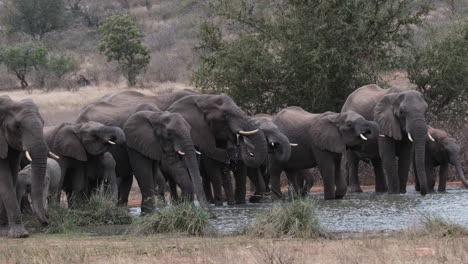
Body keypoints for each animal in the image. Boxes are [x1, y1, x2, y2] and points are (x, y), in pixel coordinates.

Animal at [0, 96, 49, 238]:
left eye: (43, 122)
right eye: (17, 126)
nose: (46, 223)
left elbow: (12, 176)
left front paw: (4, 231)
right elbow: (4, 180)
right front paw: (20, 234)